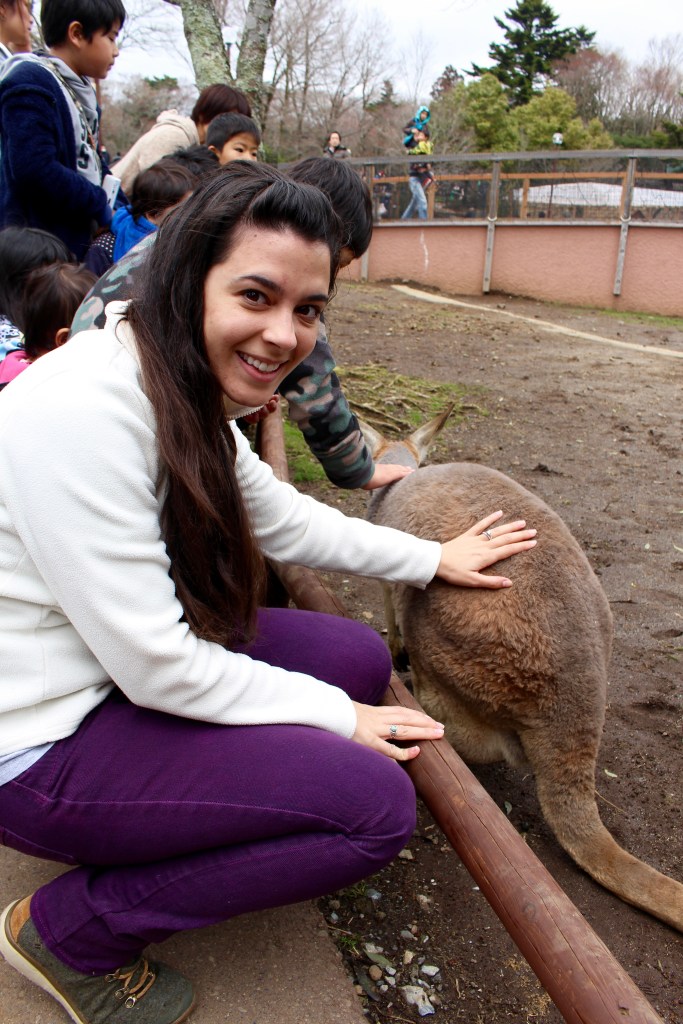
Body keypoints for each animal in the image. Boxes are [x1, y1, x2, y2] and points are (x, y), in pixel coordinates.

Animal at [362, 405, 683, 932]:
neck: (404, 468)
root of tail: (573, 717)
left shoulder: (389, 579)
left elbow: (386, 604)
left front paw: (394, 651)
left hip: (453, 631)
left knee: (477, 740)